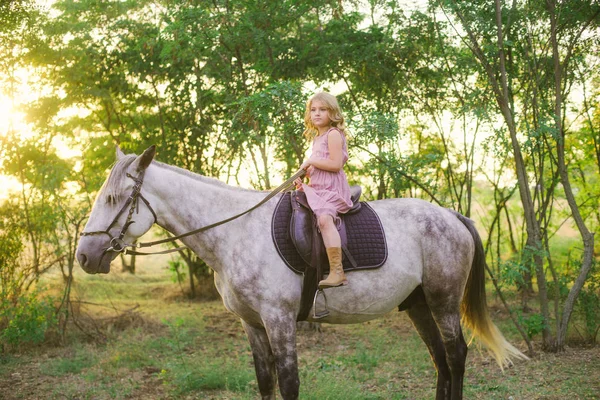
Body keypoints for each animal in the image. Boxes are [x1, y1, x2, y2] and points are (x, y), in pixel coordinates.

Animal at [76, 147, 524, 400]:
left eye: (115, 198)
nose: (84, 256)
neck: (235, 230)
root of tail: (451, 215)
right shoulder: (252, 323)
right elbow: (266, 381)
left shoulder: (279, 319)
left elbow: (289, 383)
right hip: (416, 304)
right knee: (440, 360)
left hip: (443, 301)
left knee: (456, 355)